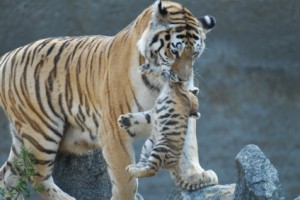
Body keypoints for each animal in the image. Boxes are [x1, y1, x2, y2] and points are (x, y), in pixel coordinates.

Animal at [0, 0, 216, 200]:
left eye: (194, 53)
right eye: (174, 52)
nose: (183, 78)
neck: (159, 80)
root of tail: (7, 56)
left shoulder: (182, 108)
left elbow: (188, 144)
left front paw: (196, 176)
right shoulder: (113, 129)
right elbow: (124, 177)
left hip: (25, 137)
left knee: (7, 175)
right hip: (42, 132)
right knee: (36, 177)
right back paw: (67, 198)